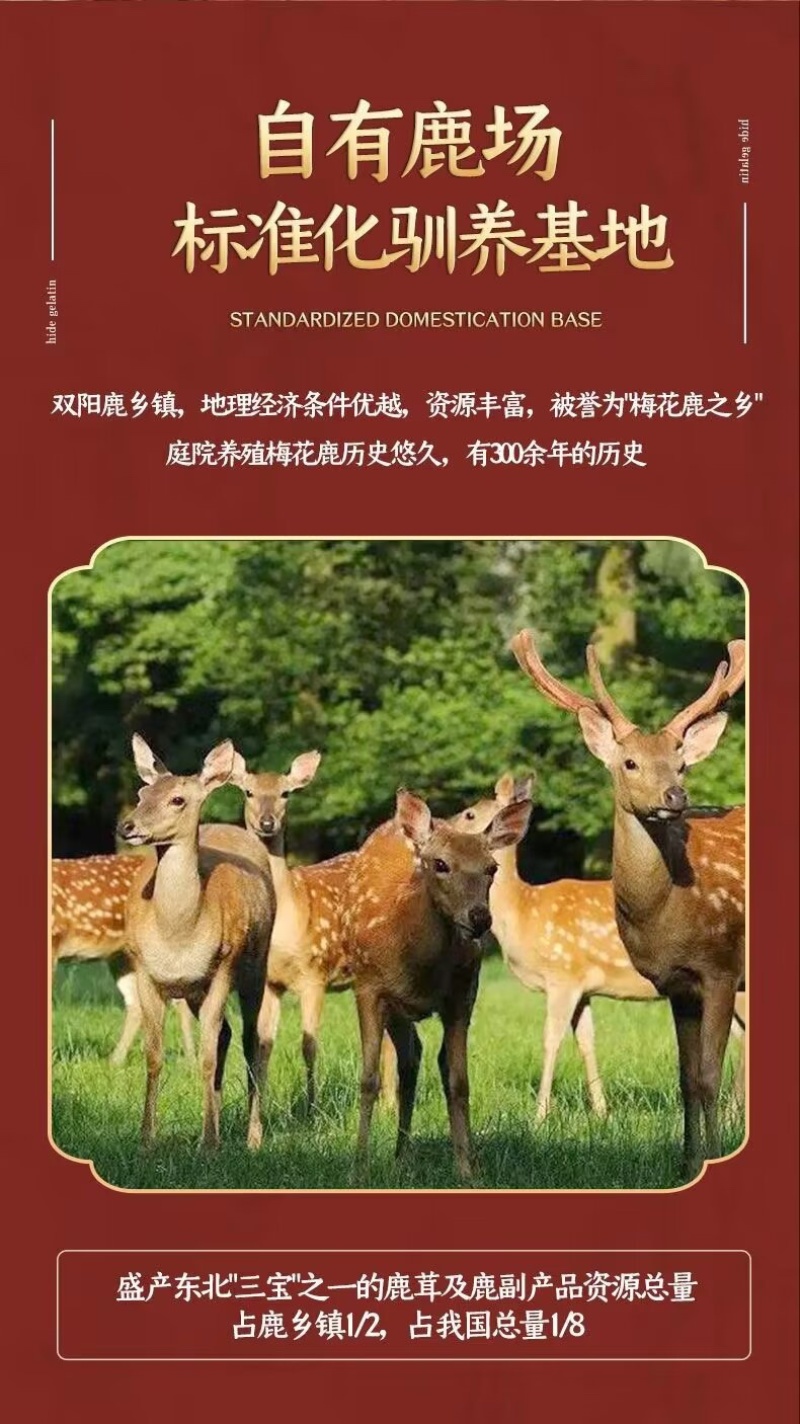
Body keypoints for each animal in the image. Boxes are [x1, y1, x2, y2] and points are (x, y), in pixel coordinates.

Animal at [118, 736, 275, 1150]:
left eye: (177, 799)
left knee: (253, 1041)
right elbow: (154, 1056)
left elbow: (205, 1057)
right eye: (142, 793)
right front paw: (146, 1139)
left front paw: (208, 1144)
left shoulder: (223, 967)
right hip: (194, 992)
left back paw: (252, 1137)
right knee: (226, 1035)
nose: (127, 825)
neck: (179, 936)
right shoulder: (144, 969)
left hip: (256, 967)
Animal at [342, 788, 532, 1181]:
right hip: (394, 1007)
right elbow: (368, 1079)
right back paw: (398, 1155)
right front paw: (358, 1168)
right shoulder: (368, 988)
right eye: (440, 864)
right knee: (409, 1058)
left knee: (421, 1059)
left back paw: (411, 1154)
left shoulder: (462, 995)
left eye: (492, 868)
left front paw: (467, 1170)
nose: (480, 918)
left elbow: (459, 1082)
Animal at [451, 773, 746, 1121]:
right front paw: (602, 1111)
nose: (437, 828)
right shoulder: (584, 987)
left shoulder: (563, 974)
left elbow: (550, 1039)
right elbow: (586, 1042)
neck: (523, 913)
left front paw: (539, 1115)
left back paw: (731, 1114)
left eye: (469, 814)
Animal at [510, 630, 746, 1179]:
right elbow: (687, 1078)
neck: (665, 912)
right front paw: (686, 1162)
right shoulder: (678, 983)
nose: (675, 795)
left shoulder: (721, 967)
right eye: (630, 762)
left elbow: (708, 1074)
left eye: (682, 762)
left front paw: (715, 1153)